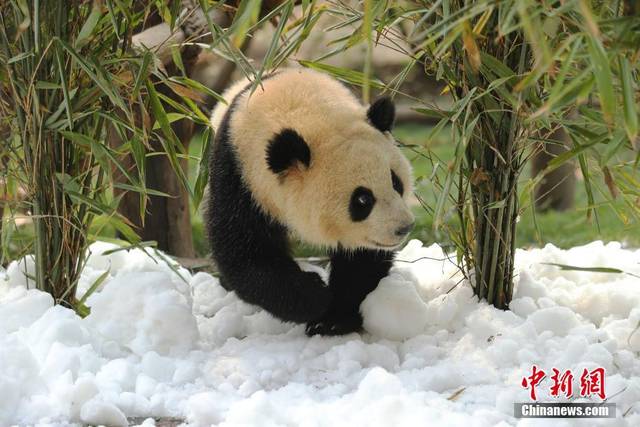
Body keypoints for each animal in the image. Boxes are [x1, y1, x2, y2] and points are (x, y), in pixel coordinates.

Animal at [206, 68, 416, 338]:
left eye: (396, 182)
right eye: (362, 199)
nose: (403, 228)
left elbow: (361, 257)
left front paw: (333, 319)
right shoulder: (238, 175)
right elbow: (245, 251)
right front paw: (315, 297)